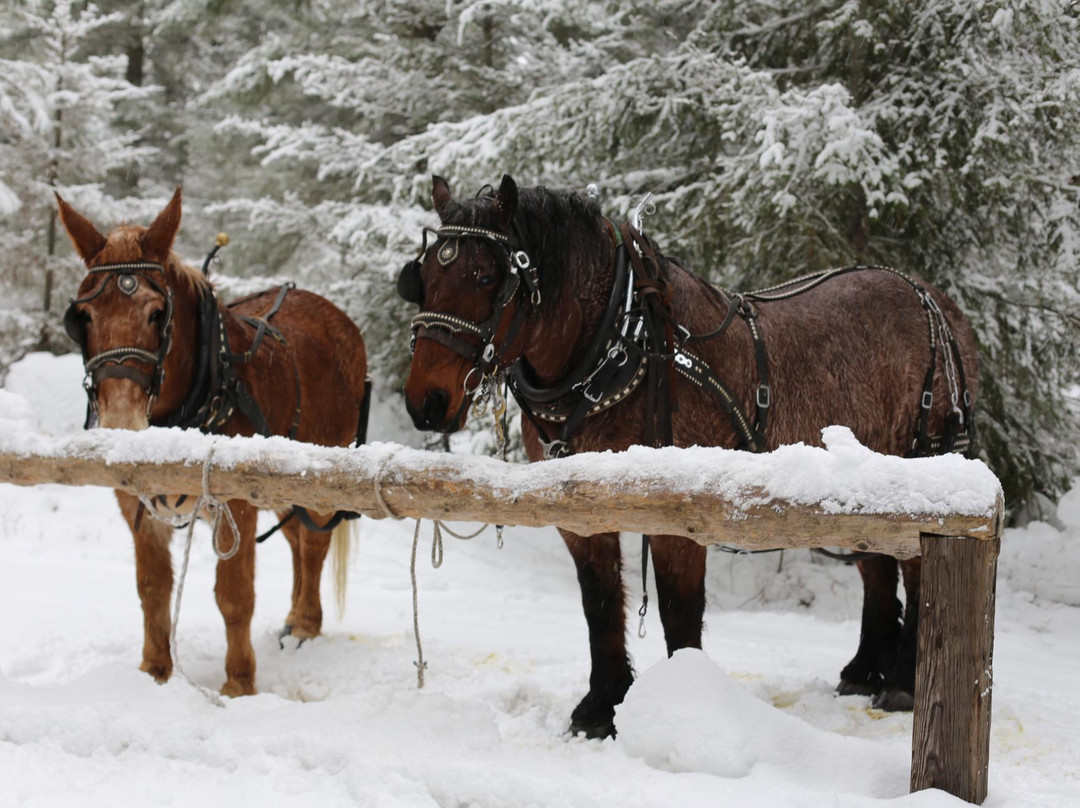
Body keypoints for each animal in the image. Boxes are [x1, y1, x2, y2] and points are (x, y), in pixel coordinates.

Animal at [56, 189, 371, 697]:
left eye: (157, 313)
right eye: (82, 316)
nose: (122, 423)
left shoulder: (235, 503)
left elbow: (234, 596)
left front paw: (239, 684)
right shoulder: (135, 503)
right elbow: (152, 588)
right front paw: (155, 672)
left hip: (323, 475)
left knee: (314, 544)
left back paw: (305, 624)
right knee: (297, 540)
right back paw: (293, 617)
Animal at [398, 174, 979, 738]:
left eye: (486, 278)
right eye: (421, 277)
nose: (426, 403)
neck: (618, 350)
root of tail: (933, 299)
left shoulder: (680, 514)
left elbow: (680, 612)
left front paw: (689, 710)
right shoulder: (579, 515)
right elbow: (599, 603)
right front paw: (601, 707)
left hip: (920, 468)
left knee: (918, 569)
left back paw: (902, 681)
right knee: (875, 566)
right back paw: (863, 670)